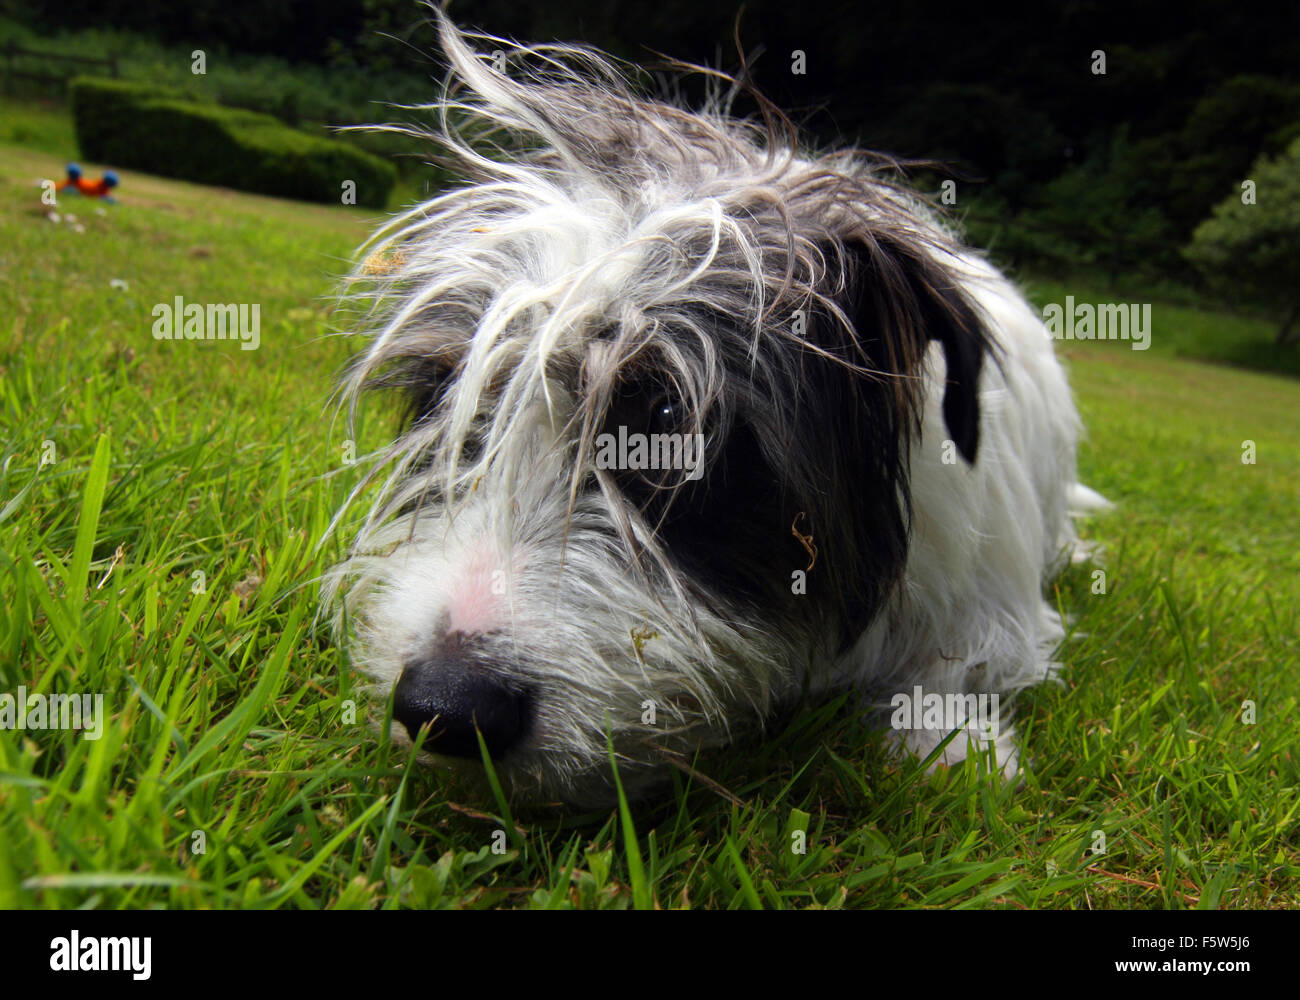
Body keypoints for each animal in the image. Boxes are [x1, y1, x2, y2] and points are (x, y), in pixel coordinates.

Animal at [327, 15, 1107, 806]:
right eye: (446, 395)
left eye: (669, 422)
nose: (444, 707)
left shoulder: (991, 602)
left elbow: (960, 661)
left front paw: (949, 742)